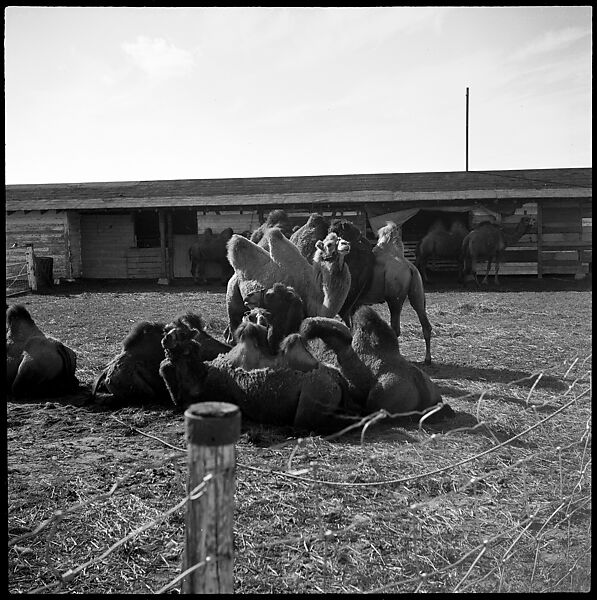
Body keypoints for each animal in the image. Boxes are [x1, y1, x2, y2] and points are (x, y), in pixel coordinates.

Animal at [328, 219, 430, 364]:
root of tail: (409, 267)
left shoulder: (350, 300)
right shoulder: (354, 303)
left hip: (394, 299)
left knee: (395, 328)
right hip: (417, 294)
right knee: (424, 322)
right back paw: (427, 359)